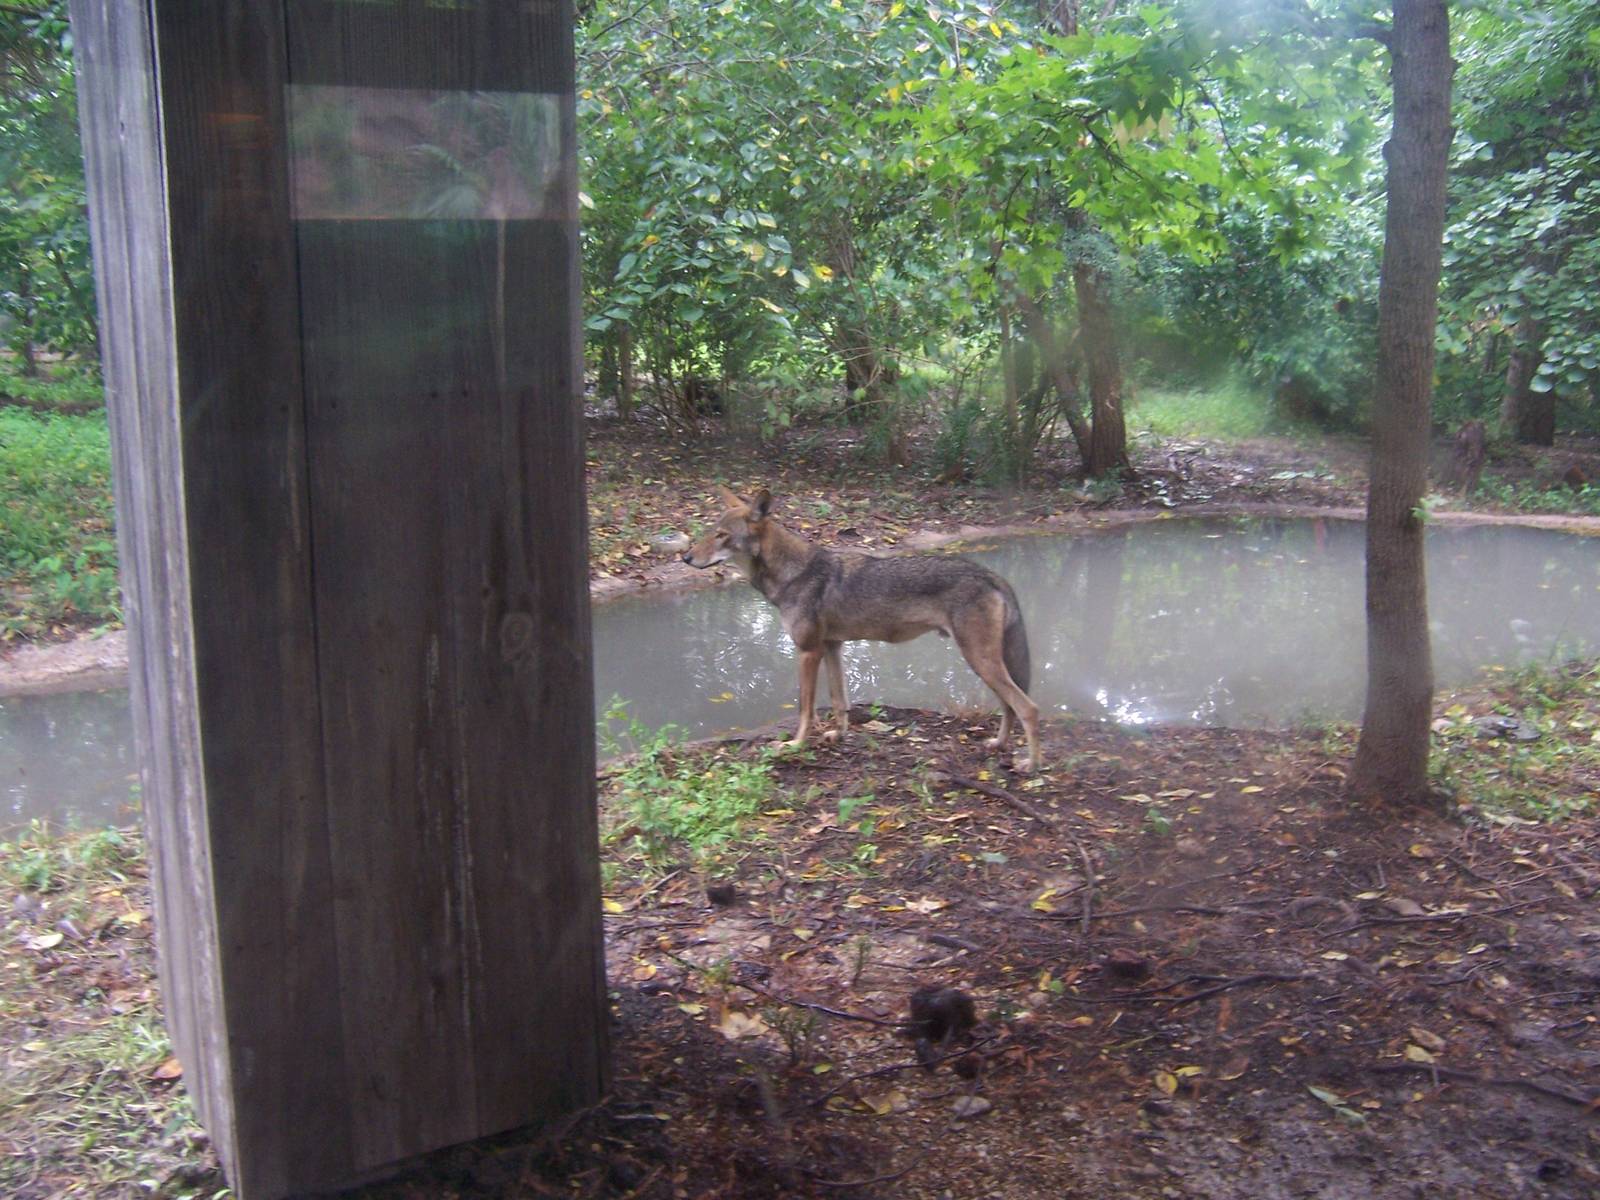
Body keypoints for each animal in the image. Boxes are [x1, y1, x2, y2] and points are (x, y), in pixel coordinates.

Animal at [683, 487, 1042, 771]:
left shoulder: (807, 652)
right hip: (985, 664)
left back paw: (1031, 765)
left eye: (721, 535)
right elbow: (839, 701)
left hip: (980, 661)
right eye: (711, 531)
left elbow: (805, 709)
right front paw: (837, 735)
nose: (686, 557)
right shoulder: (832, 647)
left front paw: (795, 745)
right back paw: (999, 745)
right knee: (1010, 706)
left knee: (1028, 708)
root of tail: (991, 575)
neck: (794, 573)